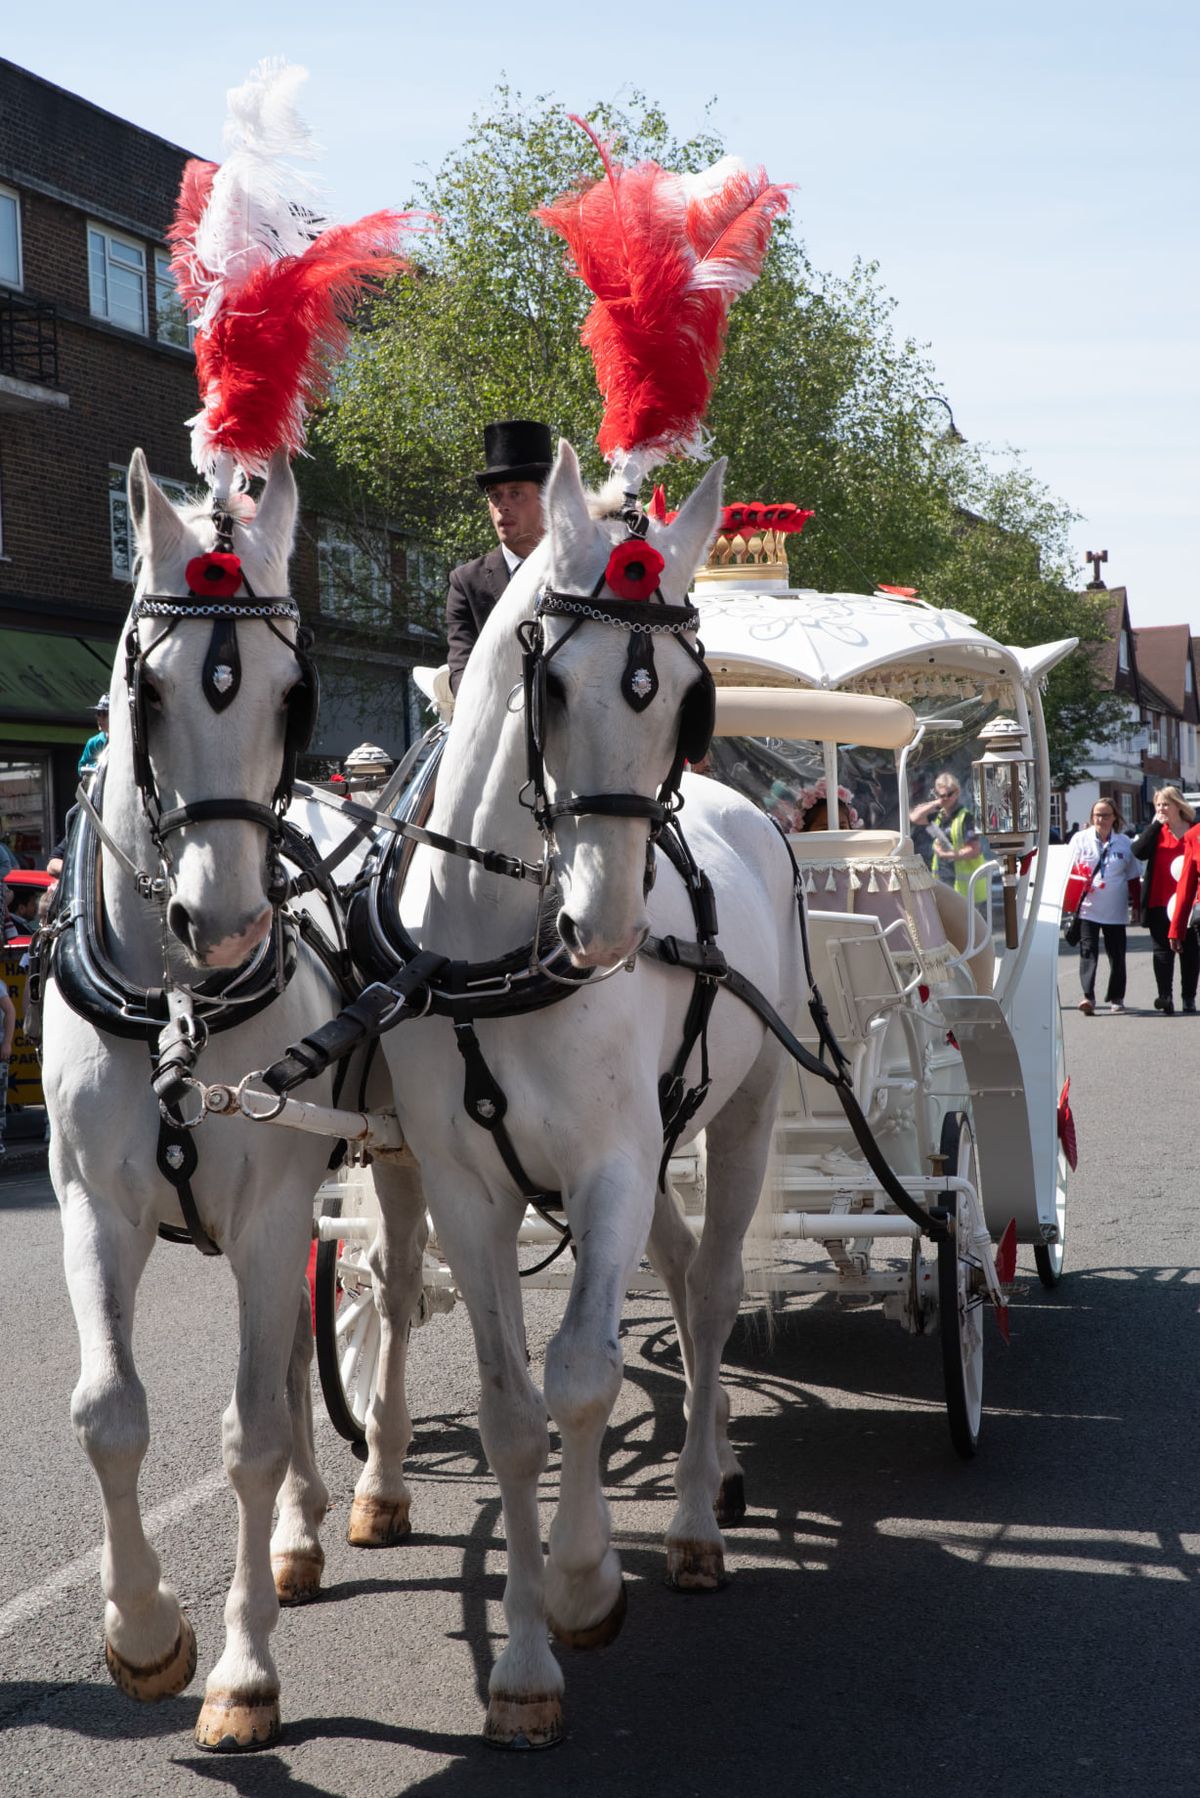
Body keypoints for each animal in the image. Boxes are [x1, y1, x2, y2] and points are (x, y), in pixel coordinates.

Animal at [41, 453, 370, 1754]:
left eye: (295, 693)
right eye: (149, 686)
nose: (223, 922)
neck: (176, 1004)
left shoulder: (277, 1205)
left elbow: (252, 1431)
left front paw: (240, 1670)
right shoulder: (95, 1203)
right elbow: (108, 1413)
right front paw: (142, 1633)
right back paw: (300, 1532)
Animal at [359, 442, 805, 1747]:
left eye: (690, 696)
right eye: (550, 686)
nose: (602, 927)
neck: (503, 943)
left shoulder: (607, 1165)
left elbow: (586, 1376)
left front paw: (584, 1578)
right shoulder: (465, 1188)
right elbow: (514, 1409)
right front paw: (522, 1665)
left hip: (744, 1114)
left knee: (712, 1292)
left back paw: (698, 1517)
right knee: (676, 1272)